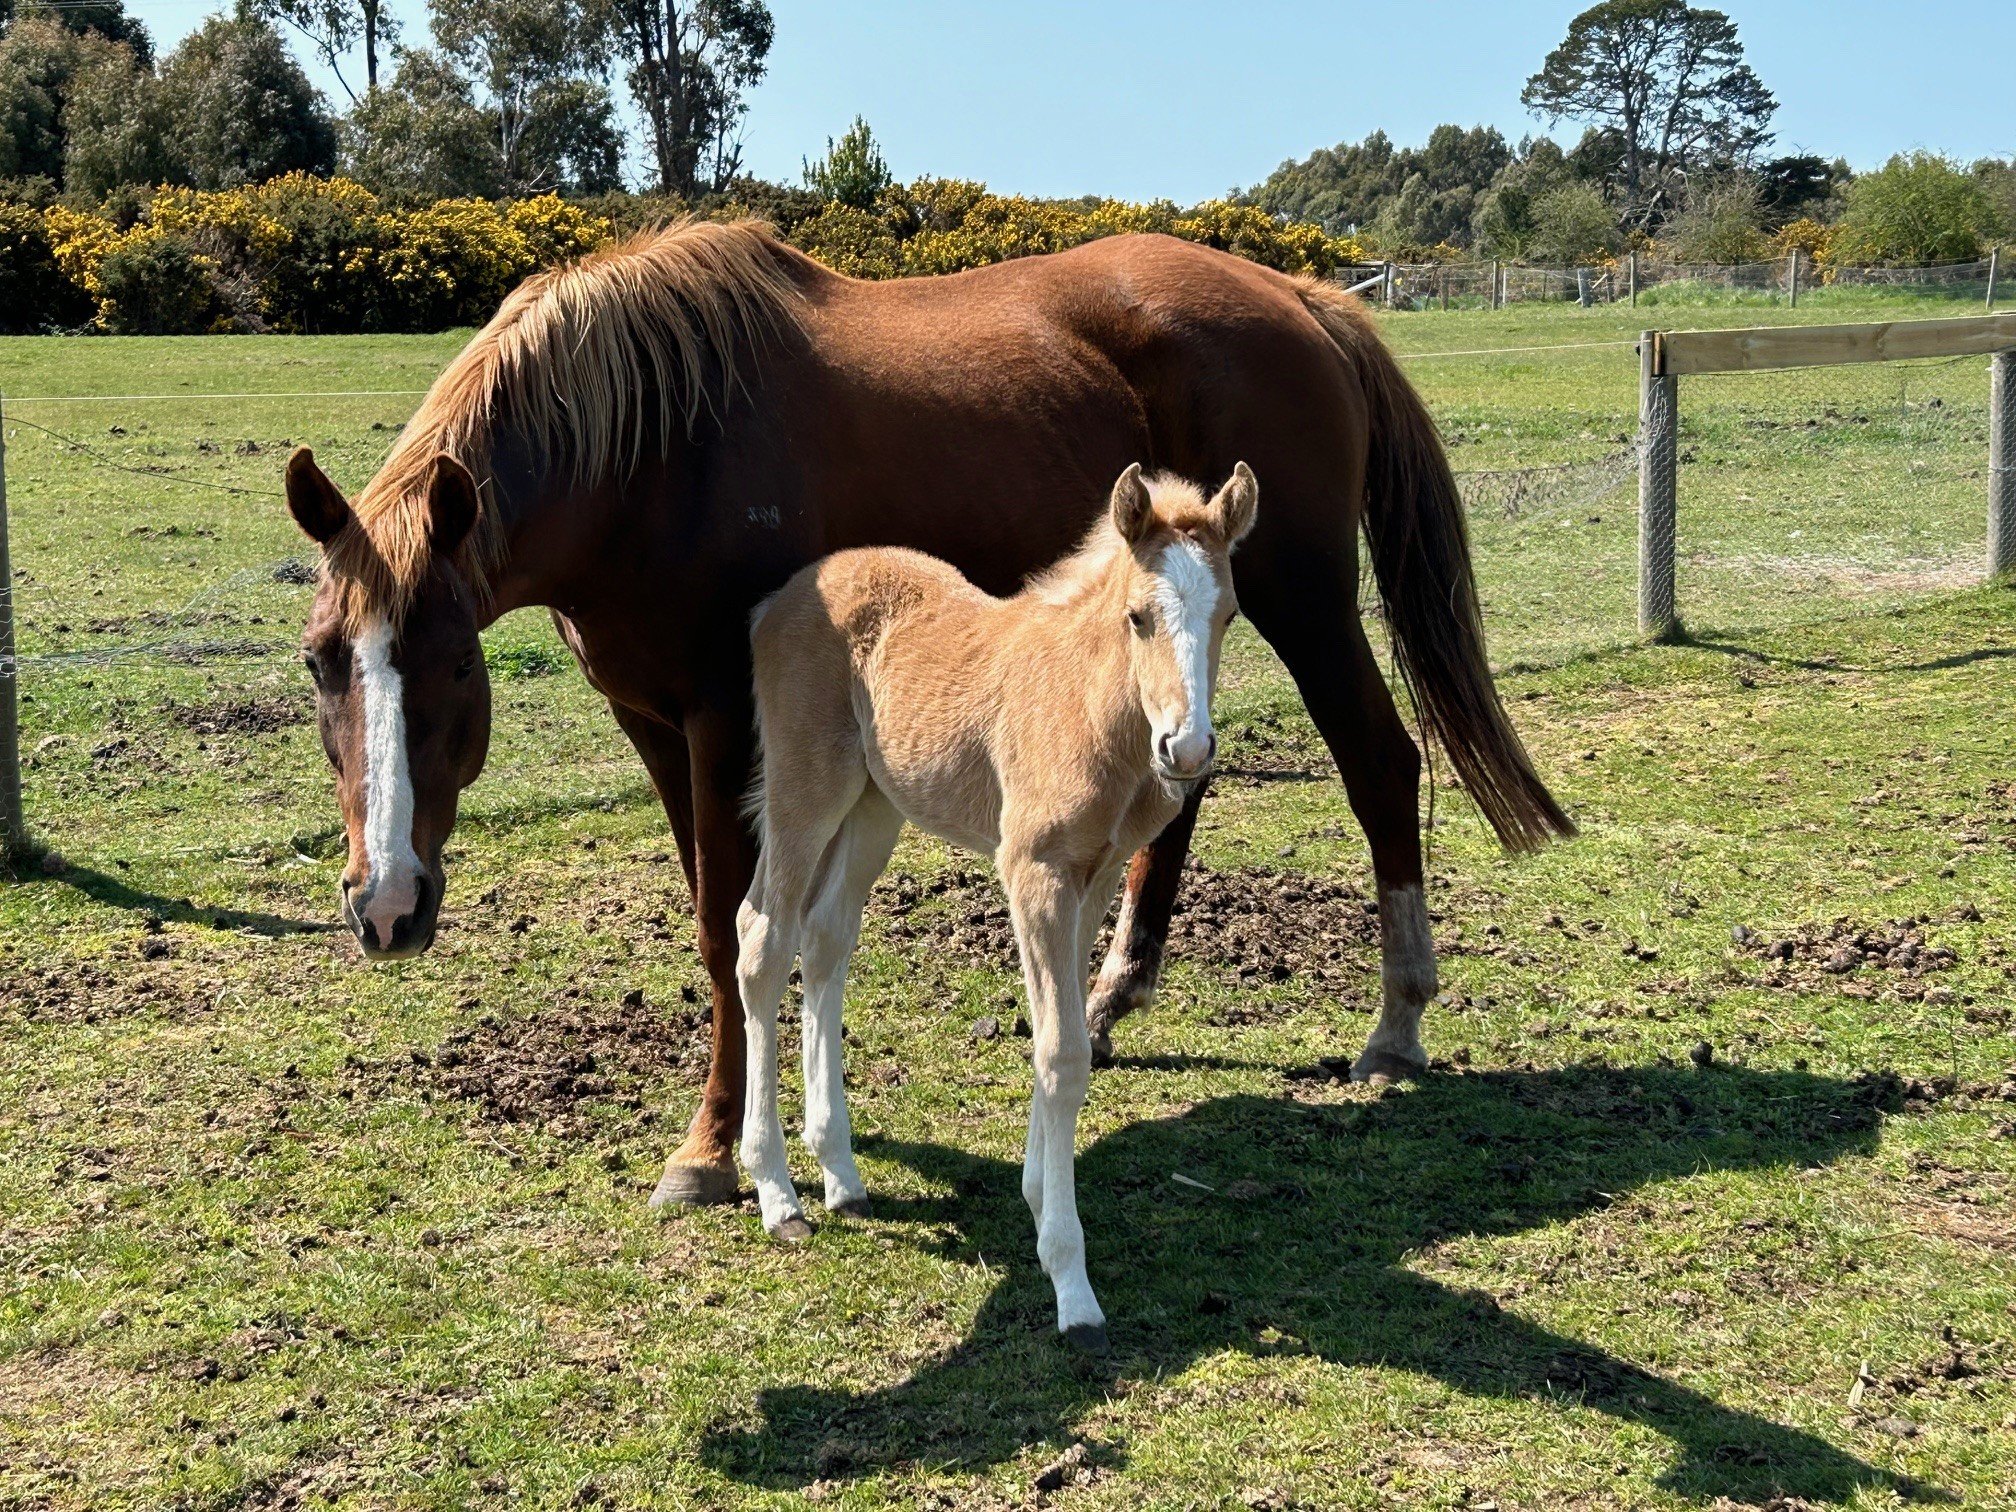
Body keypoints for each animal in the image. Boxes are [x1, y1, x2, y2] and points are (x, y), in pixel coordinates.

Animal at [281, 218, 1571, 1211]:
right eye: (318, 663)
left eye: (453, 665)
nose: (386, 905)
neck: (649, 453)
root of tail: (1299, 296)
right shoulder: (651, 722)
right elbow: (728, 927)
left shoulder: (723, 722)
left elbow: (731, 927)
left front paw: (715, 1149)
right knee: (1187, 787)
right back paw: (1114, 992)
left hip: (1308, 606)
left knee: (1380, 764)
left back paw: (1396, 1023)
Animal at [736, 463, 1257, 1350]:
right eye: (1138, 616)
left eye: (1227, 615)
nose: (1186, 751)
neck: (1089, 704)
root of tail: (778, 599)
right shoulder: (1034, 871)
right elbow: (1063, 1054)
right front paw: (1071, 1285)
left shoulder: (1093, 874)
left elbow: (1065, 1030)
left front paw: (1039, 1195)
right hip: (807, 794)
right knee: (762, 945)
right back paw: (779, 1195)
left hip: (875, 806)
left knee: (826, 938)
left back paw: (840, 1171)